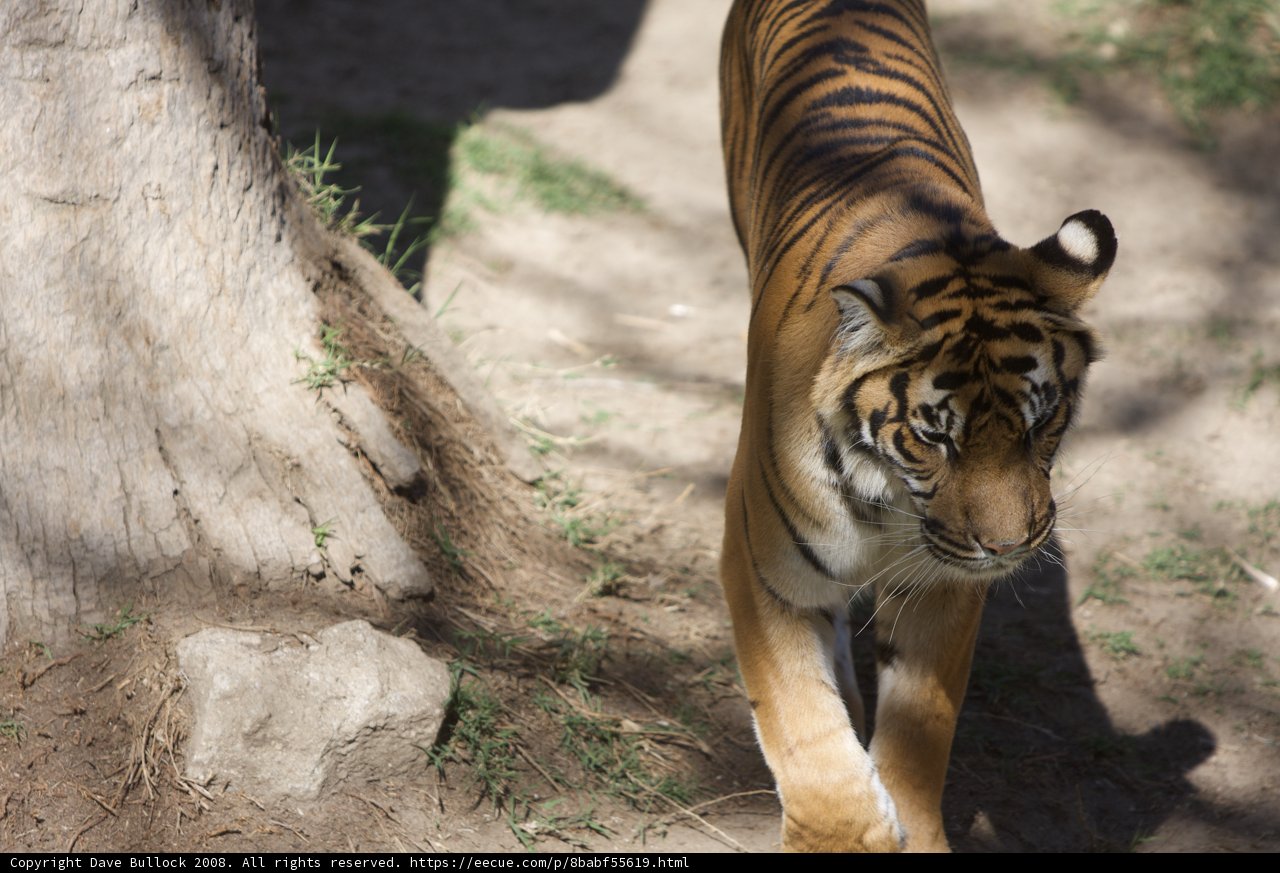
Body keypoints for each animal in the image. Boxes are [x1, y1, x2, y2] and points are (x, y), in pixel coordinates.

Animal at [717, 0, 1117, 853]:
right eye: (937, 437)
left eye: (1042, 423)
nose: (1009, 547)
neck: (890, 498)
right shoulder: (762, 568)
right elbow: (801, 723)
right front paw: (848, 828)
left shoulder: (946, 584)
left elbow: (922, 723)